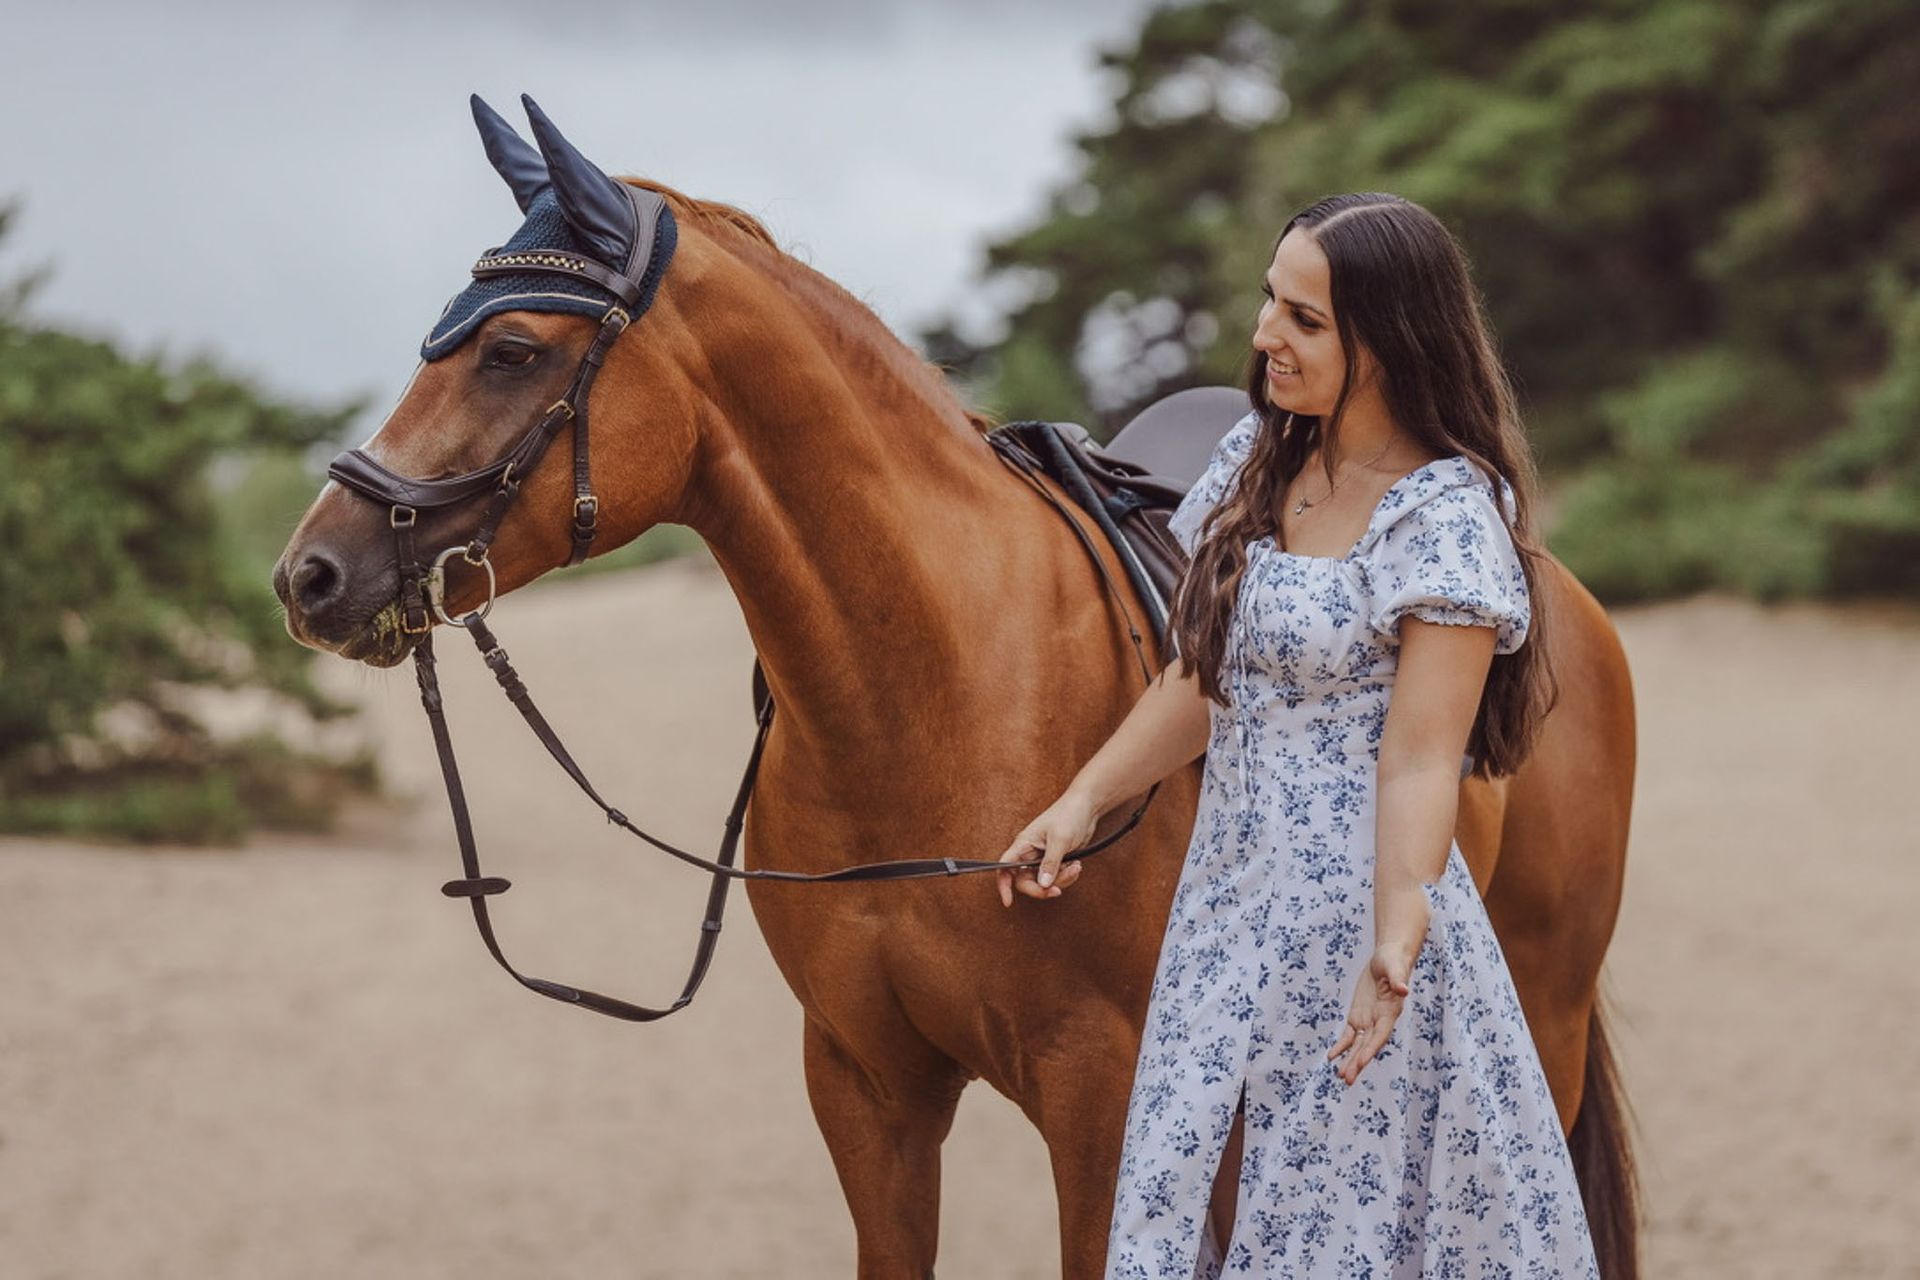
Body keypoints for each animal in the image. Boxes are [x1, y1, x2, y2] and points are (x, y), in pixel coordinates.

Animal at [273, 96, 1638, 1279]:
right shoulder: (867, 1085)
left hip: (1545, 1013)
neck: (935, 690)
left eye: (510, 349)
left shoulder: (1101, 1089)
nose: (311, 574)